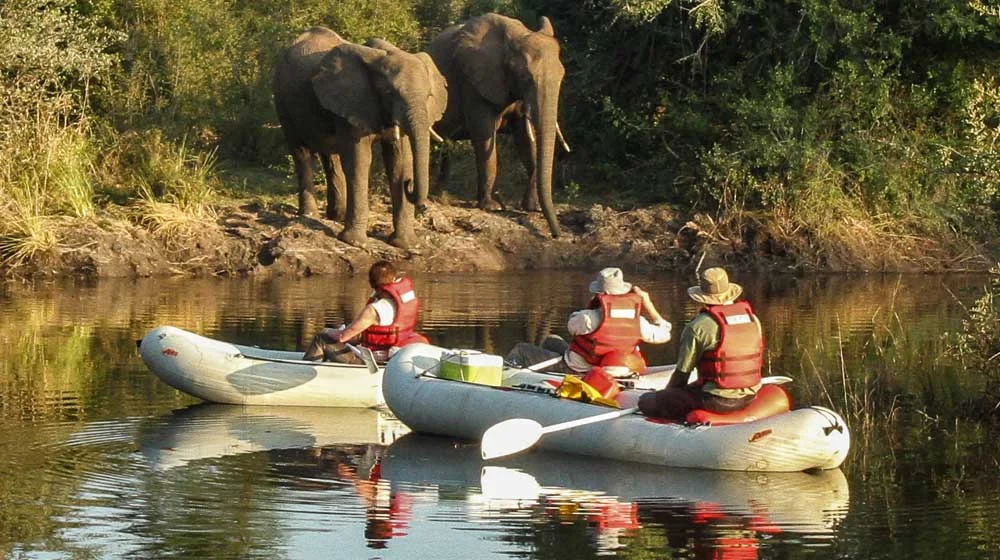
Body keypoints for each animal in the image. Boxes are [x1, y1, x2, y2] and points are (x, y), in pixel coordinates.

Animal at [272, 27, 448, 248]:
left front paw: (406, 245)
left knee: (330, 156)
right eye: (388, 92)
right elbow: (359, 161)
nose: (410, 185)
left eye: (429, 96)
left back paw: (336, 216)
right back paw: (309, 215)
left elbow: (400, 162)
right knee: (300, 152)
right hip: (281, 98)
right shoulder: (354, 101)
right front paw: (355, 243)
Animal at [430, 13, 572, 236]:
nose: (556, 234)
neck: (516, 37)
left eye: (562, 75)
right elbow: (484, 135)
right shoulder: (473, 81)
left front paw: (531, 207)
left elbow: (525, 140)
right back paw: (435, 196)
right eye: (525, 77)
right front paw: (493, 207)